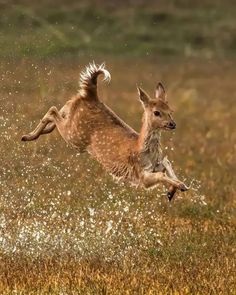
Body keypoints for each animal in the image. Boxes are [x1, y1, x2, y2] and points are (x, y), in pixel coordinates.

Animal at [21, 62, 188, 201]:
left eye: (171, 111)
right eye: (157, 112)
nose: (172, 124)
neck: (144, 148)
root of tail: (92, 94)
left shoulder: (156, 165)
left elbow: (167, 164)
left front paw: (175, 189)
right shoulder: (141, 174)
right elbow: (161, 173)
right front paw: (179, 186)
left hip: (73, 122)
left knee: (63, 107)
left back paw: (37, 133)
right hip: (75, 137)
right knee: (53, 110)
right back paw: (28, 136)